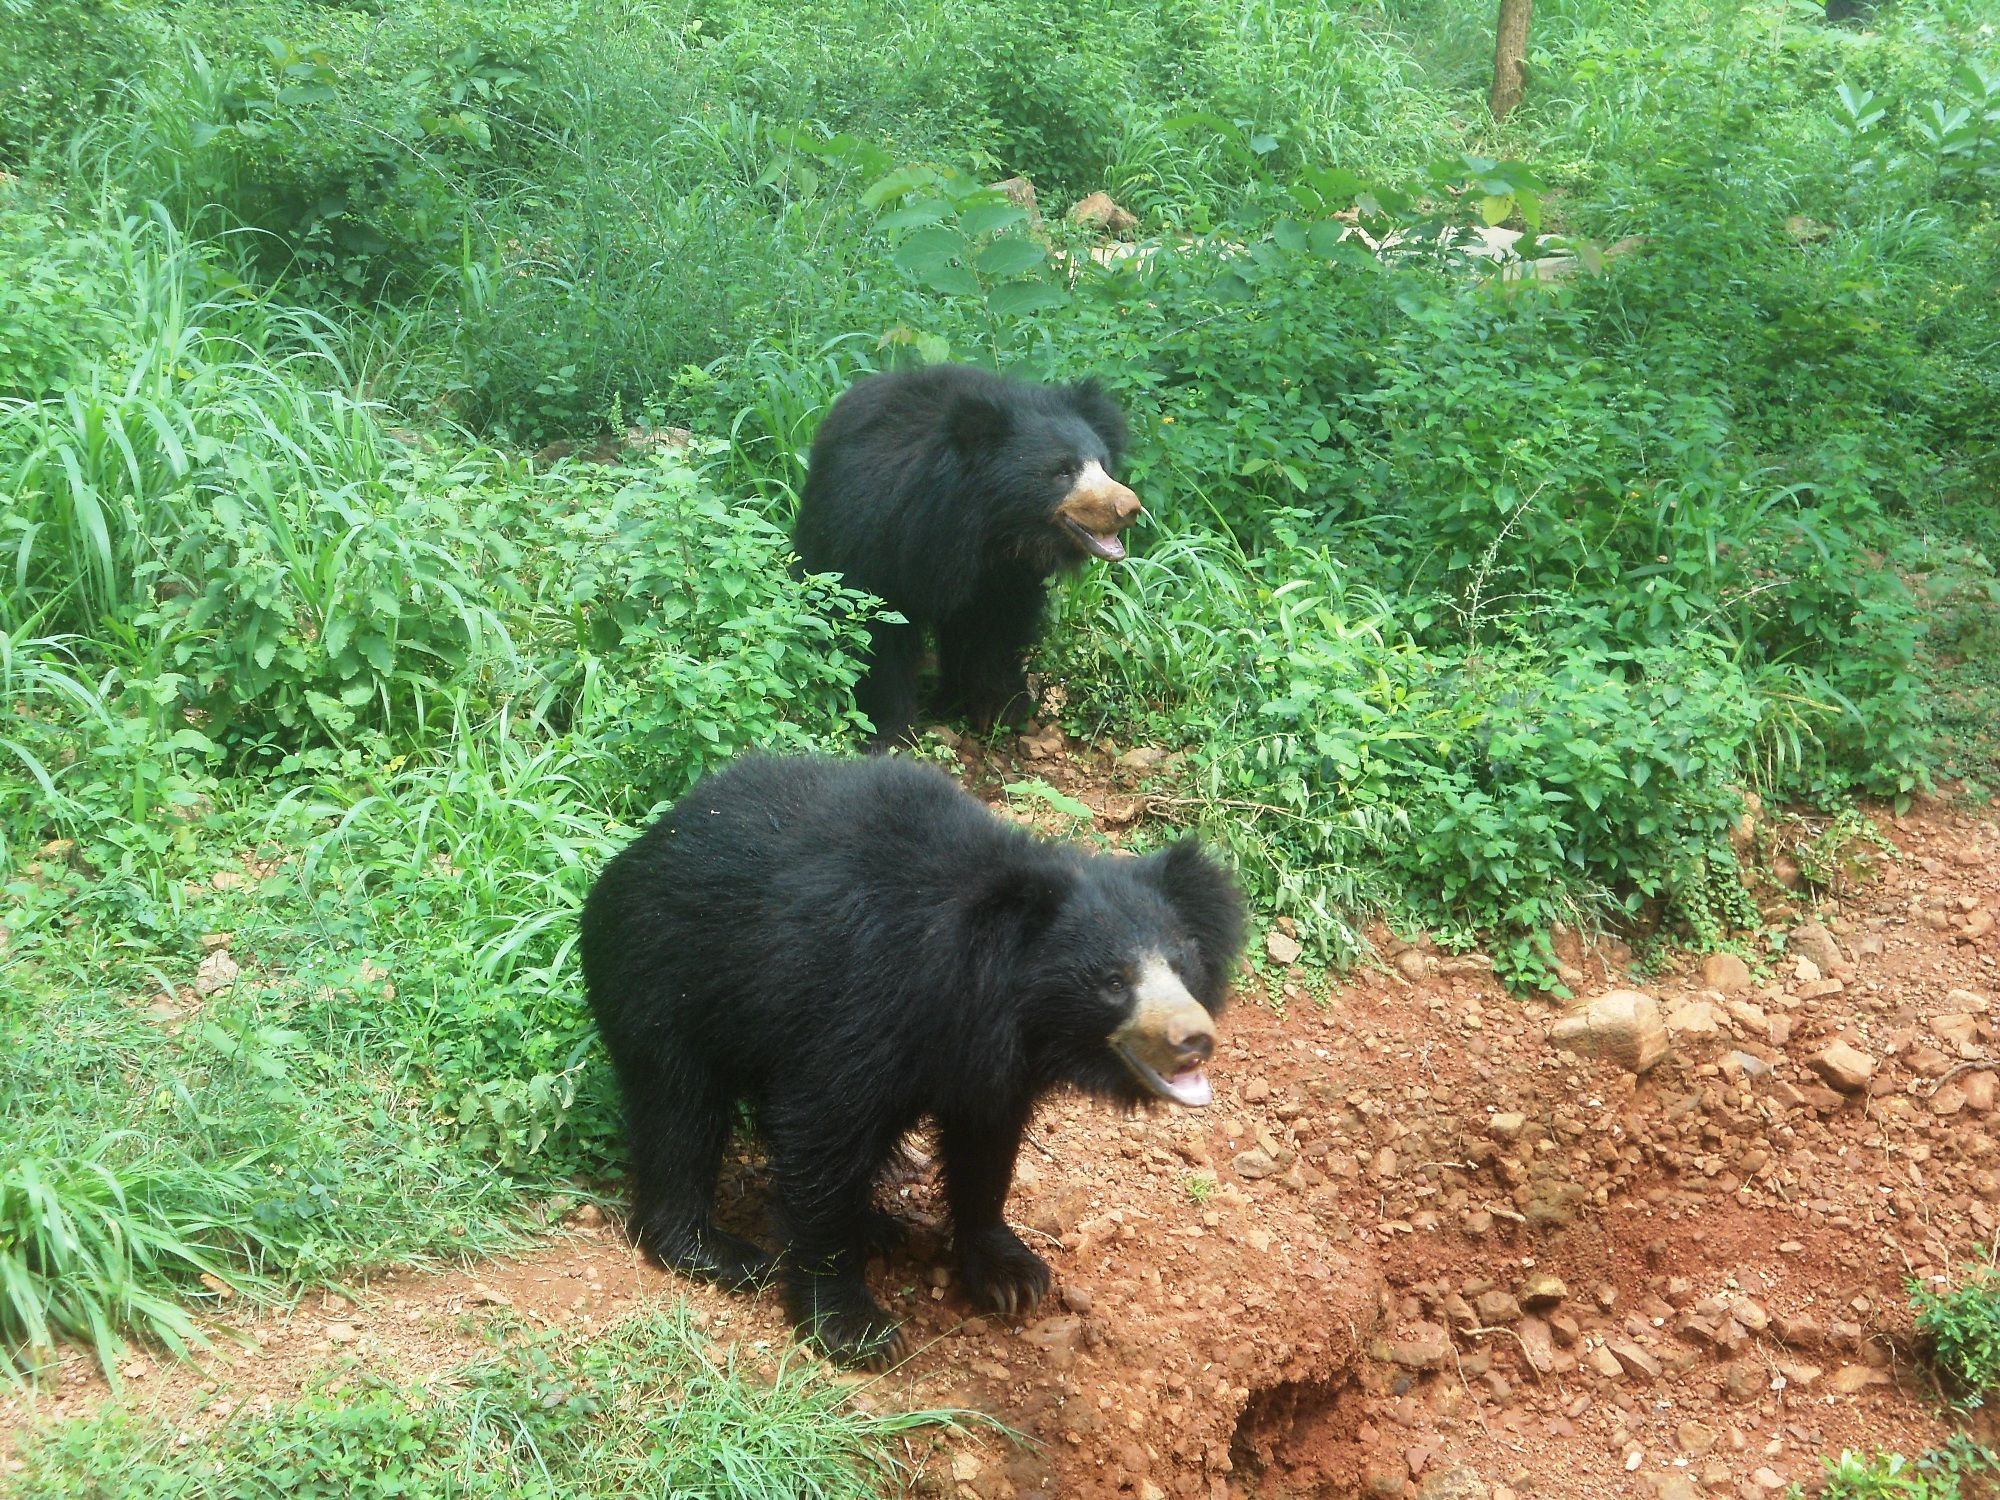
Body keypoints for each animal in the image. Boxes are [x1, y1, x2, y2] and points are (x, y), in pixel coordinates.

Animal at [576, 756, 1248, 1368]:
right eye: (1112, 981)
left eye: (1183, 965)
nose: (1194, 1039)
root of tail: (644, 846)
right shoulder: (862, 1001)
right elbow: (824, 1130)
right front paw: (855, 1327)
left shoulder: (987, 1060)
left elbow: (985, 1144)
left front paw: (1010, 1274)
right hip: (661, 979)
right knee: (680, 1110)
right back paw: (717, 1251)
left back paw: (875, 1224)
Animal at [792, 364, 1144, 752]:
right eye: (1062, 470)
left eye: (1104, 464)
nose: (1128, 508)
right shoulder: (876, 534)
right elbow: (877, 633)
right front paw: (890, 730)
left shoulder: (1010, 574)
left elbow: (998, 630)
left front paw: (999, 710)